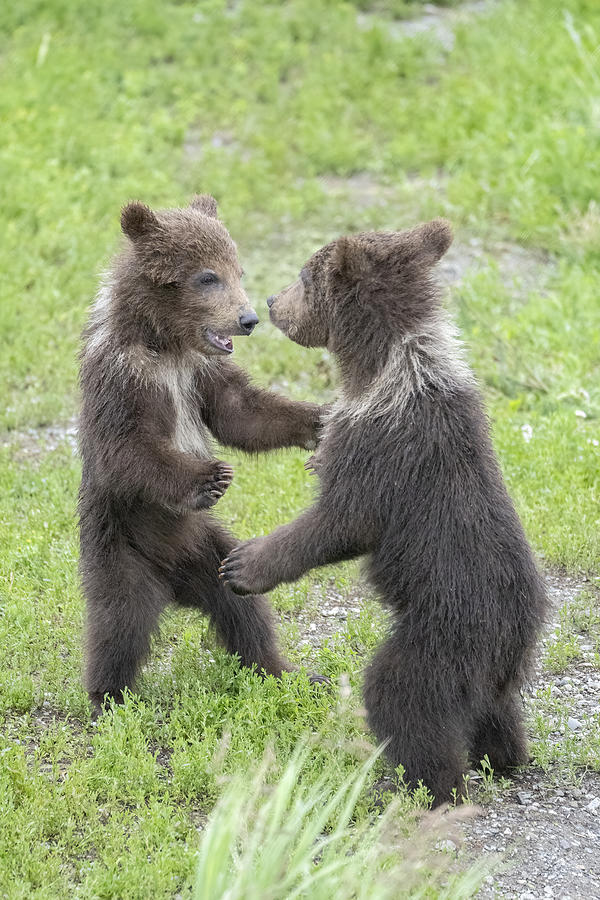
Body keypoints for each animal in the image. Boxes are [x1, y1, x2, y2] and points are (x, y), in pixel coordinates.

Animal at [78, 194, 325, 715]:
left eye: (239, 270)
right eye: (207, 277)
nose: (248, 319)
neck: (165, 342)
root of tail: (173, 586)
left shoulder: (200, 373)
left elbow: (243, 412)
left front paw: (319, 419)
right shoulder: (123, 379)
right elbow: (126, 449)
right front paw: (210, 477)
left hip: (210, 550)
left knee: (243, 605)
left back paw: (286, 671)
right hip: (121, 545)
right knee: (118, 621)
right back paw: (109, 697)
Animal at [220, 219, 549, 805]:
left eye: (304, 275)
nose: (272, 302)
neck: (386, 367)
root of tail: (517, 632)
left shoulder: (383, 451)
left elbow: (340, 521)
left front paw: (245, 562)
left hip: (440, 635)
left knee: (401, 698)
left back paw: (422, 788)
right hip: (488, 664)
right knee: (496, 711)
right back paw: (503, 759)